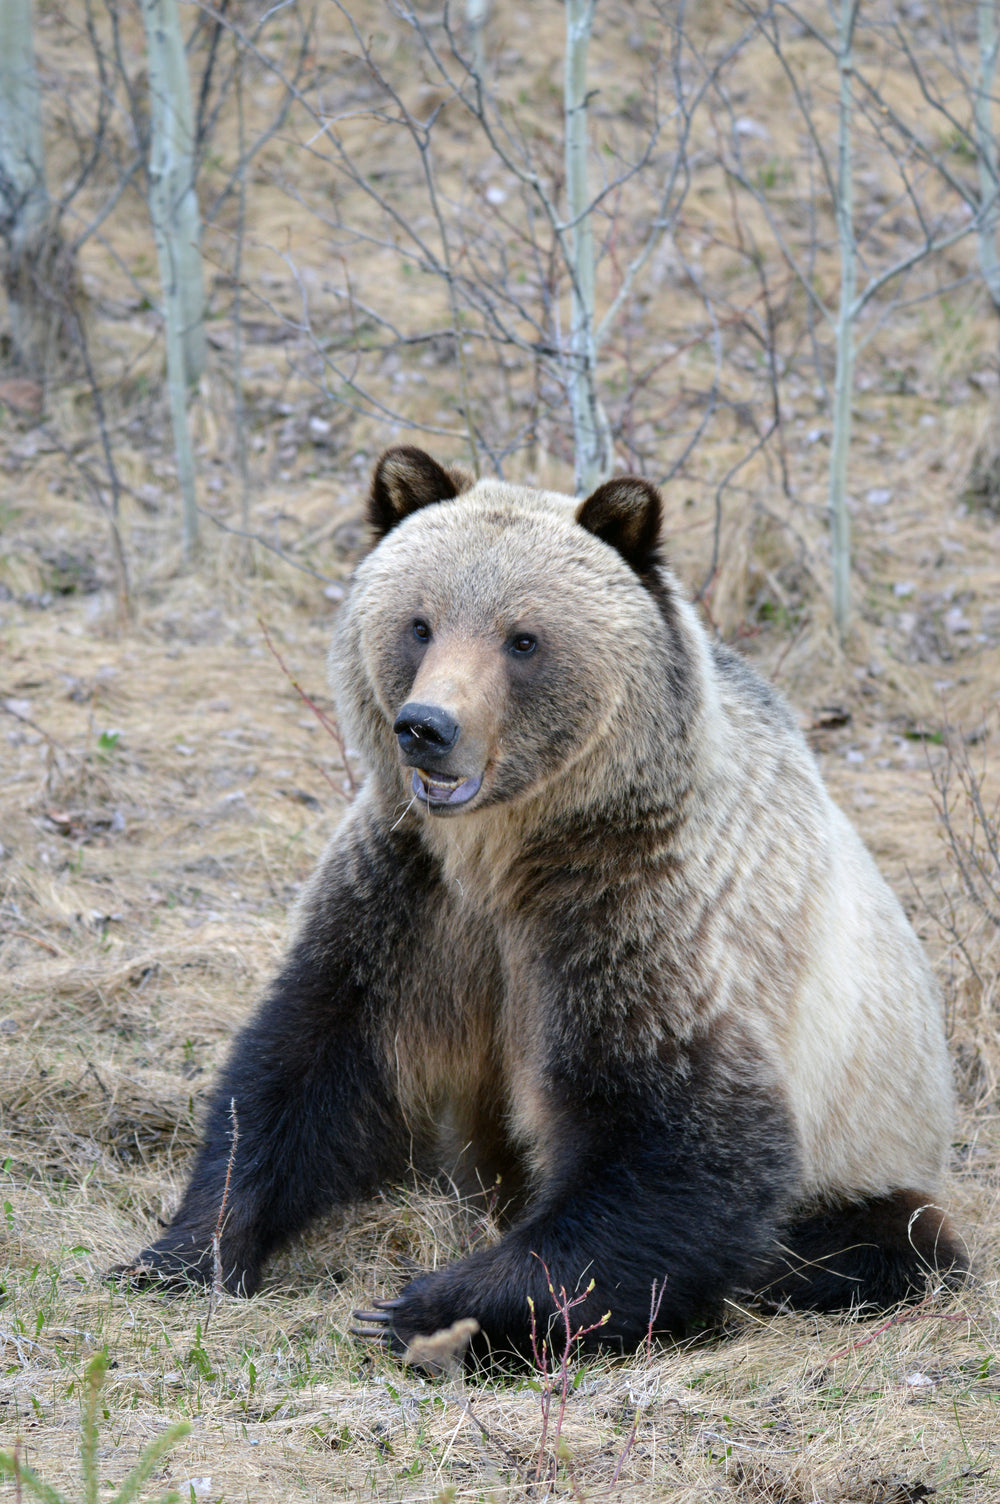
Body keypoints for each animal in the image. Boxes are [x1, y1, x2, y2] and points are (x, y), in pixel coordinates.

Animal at [122, 439, 962, 1359]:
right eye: (420, 623)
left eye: (522, 638)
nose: (428, 726)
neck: (506, 849)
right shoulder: (411, 901)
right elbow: (305, 1065)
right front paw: (184, 1250)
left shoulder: (638, 917)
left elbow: (678, 1147)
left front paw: (423, 1306)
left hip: (877, 1140)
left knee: (886, 1243)